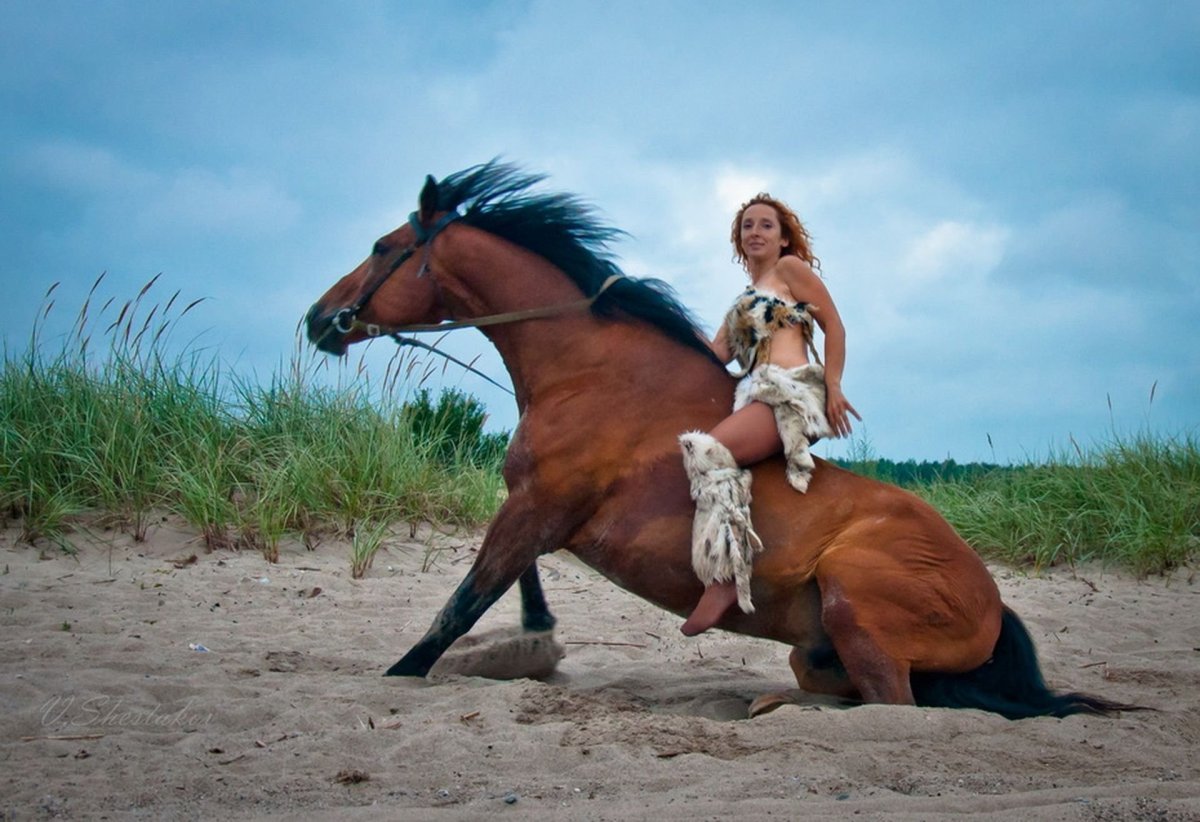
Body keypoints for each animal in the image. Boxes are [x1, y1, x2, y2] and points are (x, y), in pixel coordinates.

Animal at [306, 161, 1133, 719]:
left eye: (381, 246)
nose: (318, 319)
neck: (590, 373)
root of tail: (994, 604)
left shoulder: (538, 508)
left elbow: (460, 607)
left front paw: (410, 673)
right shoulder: (533, 510)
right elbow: (509, 585)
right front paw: (535, 638)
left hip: (854, 606)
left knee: (894, 710)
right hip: (814, 652)